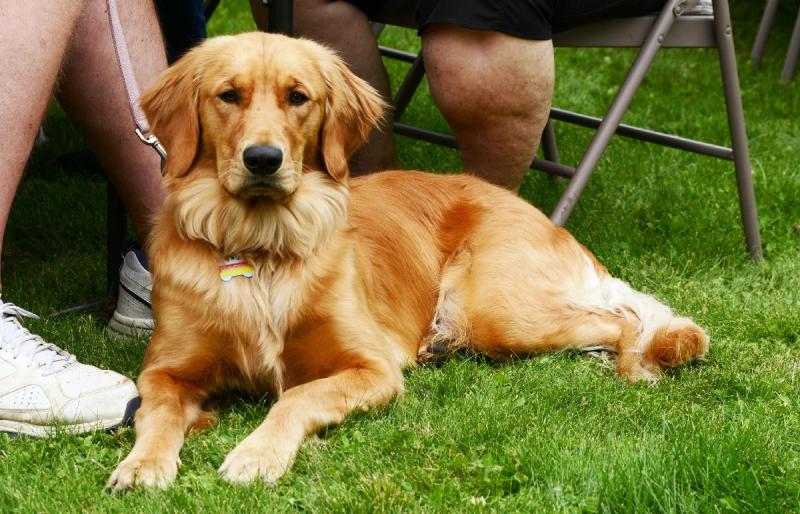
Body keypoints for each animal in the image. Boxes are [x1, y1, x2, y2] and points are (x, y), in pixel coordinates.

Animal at [108, 32, 709, 490]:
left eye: (298, 97)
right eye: (228, 95)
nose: (262, 159)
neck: (262, 246)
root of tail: (542, 216)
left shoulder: (372, 367)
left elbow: (297, 396)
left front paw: (257, 454)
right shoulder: (164, 369)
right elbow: (157, 412)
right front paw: (143, 464)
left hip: (499, 311)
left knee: (621, 318)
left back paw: (638, 367)